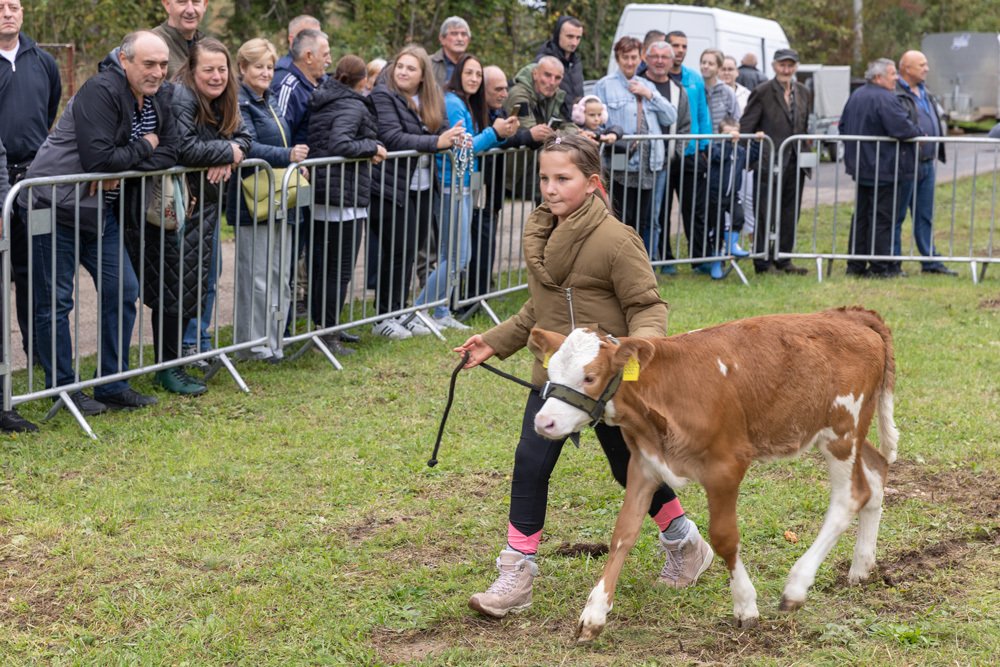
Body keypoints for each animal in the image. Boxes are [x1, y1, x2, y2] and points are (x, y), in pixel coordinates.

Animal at [532, 306, 900, 640]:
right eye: (550, 373)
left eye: (590, 377)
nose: (543, 422)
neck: (664, 392)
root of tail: (848, 314)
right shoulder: (644, 465)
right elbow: (623, 533)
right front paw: (594, 613)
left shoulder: (727, 466)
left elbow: (724, 537)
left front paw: (745, 606)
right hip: (844, 433)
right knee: (876, 472)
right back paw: (861, 567)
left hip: (842, 429)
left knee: (851, 496)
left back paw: (796, 587)